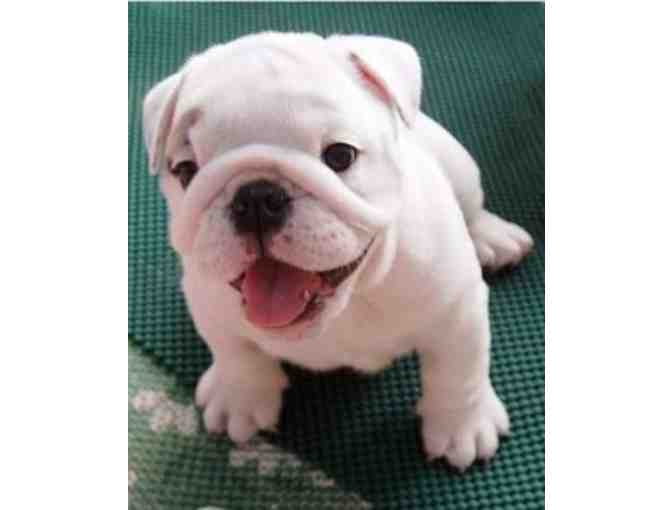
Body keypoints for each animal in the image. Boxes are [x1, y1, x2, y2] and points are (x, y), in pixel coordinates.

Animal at [142, 32, 533, 471]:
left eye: (341, 155)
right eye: (185, 172)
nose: (256, 196)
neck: (350, 298)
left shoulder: (456, 309)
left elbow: (458, 370)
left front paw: (460, 427)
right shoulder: (209, 303)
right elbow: (234, 352)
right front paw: (238, 397)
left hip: (459, 165)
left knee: (472, 206)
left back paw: (494, 236)